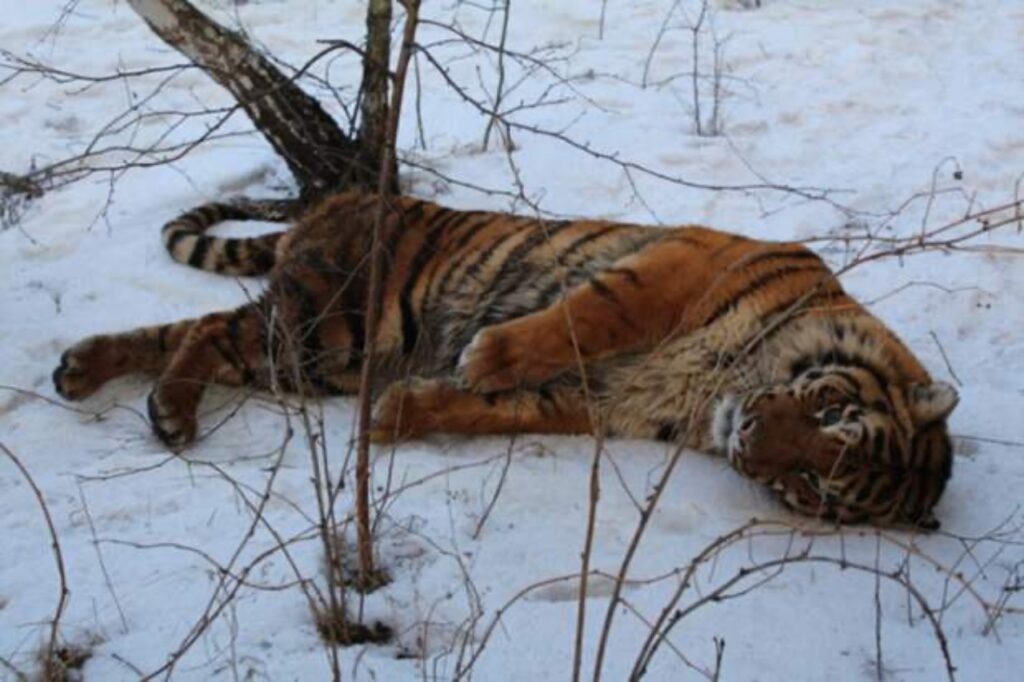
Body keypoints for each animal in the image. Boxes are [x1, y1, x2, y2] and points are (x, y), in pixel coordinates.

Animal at [51, 189, 954, 524]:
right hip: (331, 327)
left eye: (811, 488)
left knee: (186, 331)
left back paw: (99, 378)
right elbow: (590, 314)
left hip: (317, 355)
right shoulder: (678, 266)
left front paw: (403, 412)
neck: (717, 391)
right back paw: (160, 405)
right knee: (203, 331)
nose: (751, 440)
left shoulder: (593, 400)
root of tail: (338, 196)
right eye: (833, 411)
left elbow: (493, 411)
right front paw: (488, 353)